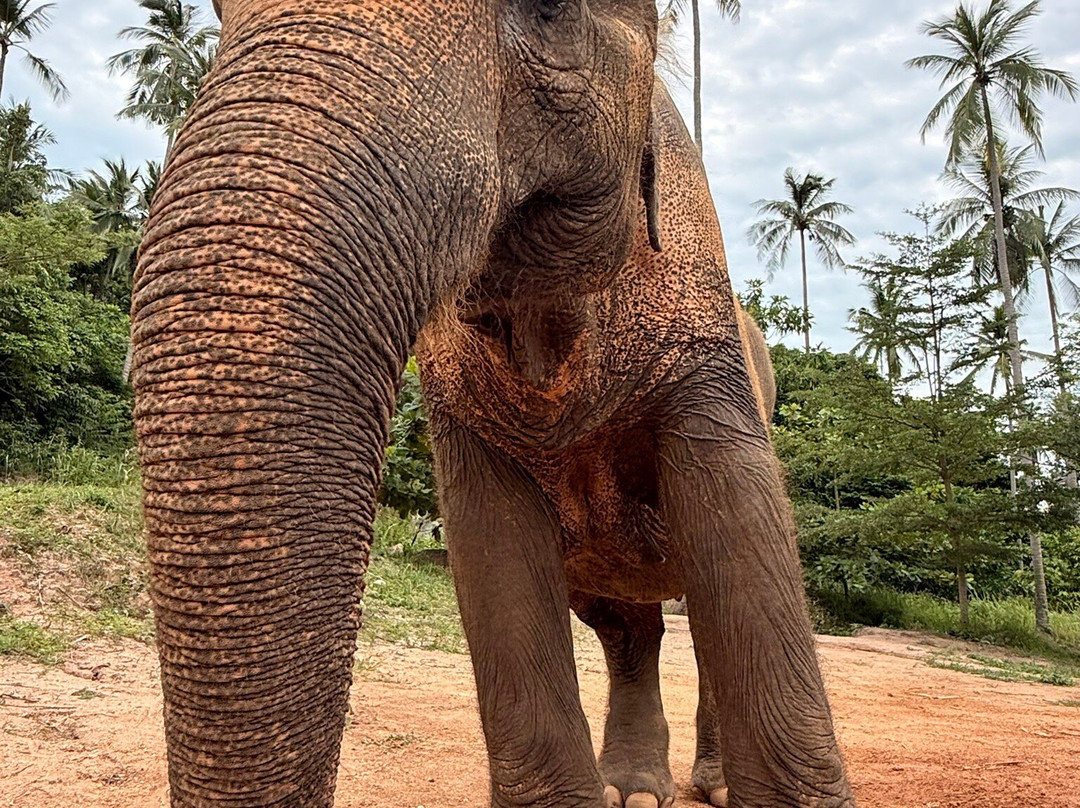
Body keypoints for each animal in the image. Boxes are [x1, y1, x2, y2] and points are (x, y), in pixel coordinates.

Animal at [130, 1, 854, 807]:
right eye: (218, 14)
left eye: (553, 9)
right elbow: (493, 544)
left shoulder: (703, 326)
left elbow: (738, 524)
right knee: (626, 627)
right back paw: (632, 789)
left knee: (693, 607)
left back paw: (707, 786)